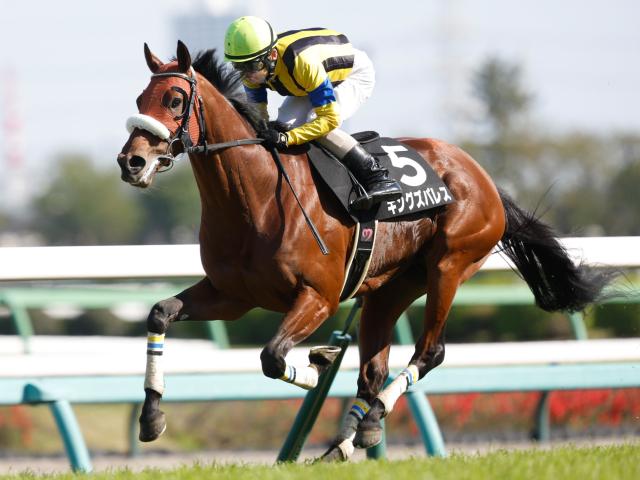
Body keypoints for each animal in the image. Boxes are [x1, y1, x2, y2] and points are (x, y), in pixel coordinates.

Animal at [117, 42, 612, 462]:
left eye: (175, 99)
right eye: (140, 98)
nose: (131, 162)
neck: (254, 196)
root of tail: (482, 175)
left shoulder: (318, 296)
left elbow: (273, 356)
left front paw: (317, 364)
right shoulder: (233, 295)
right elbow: (160, 314)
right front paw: (151, 416)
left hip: (449, 266)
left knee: (430, 351)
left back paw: (368, 420)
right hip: (389, 289)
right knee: (374, 369)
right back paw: (347, 440)